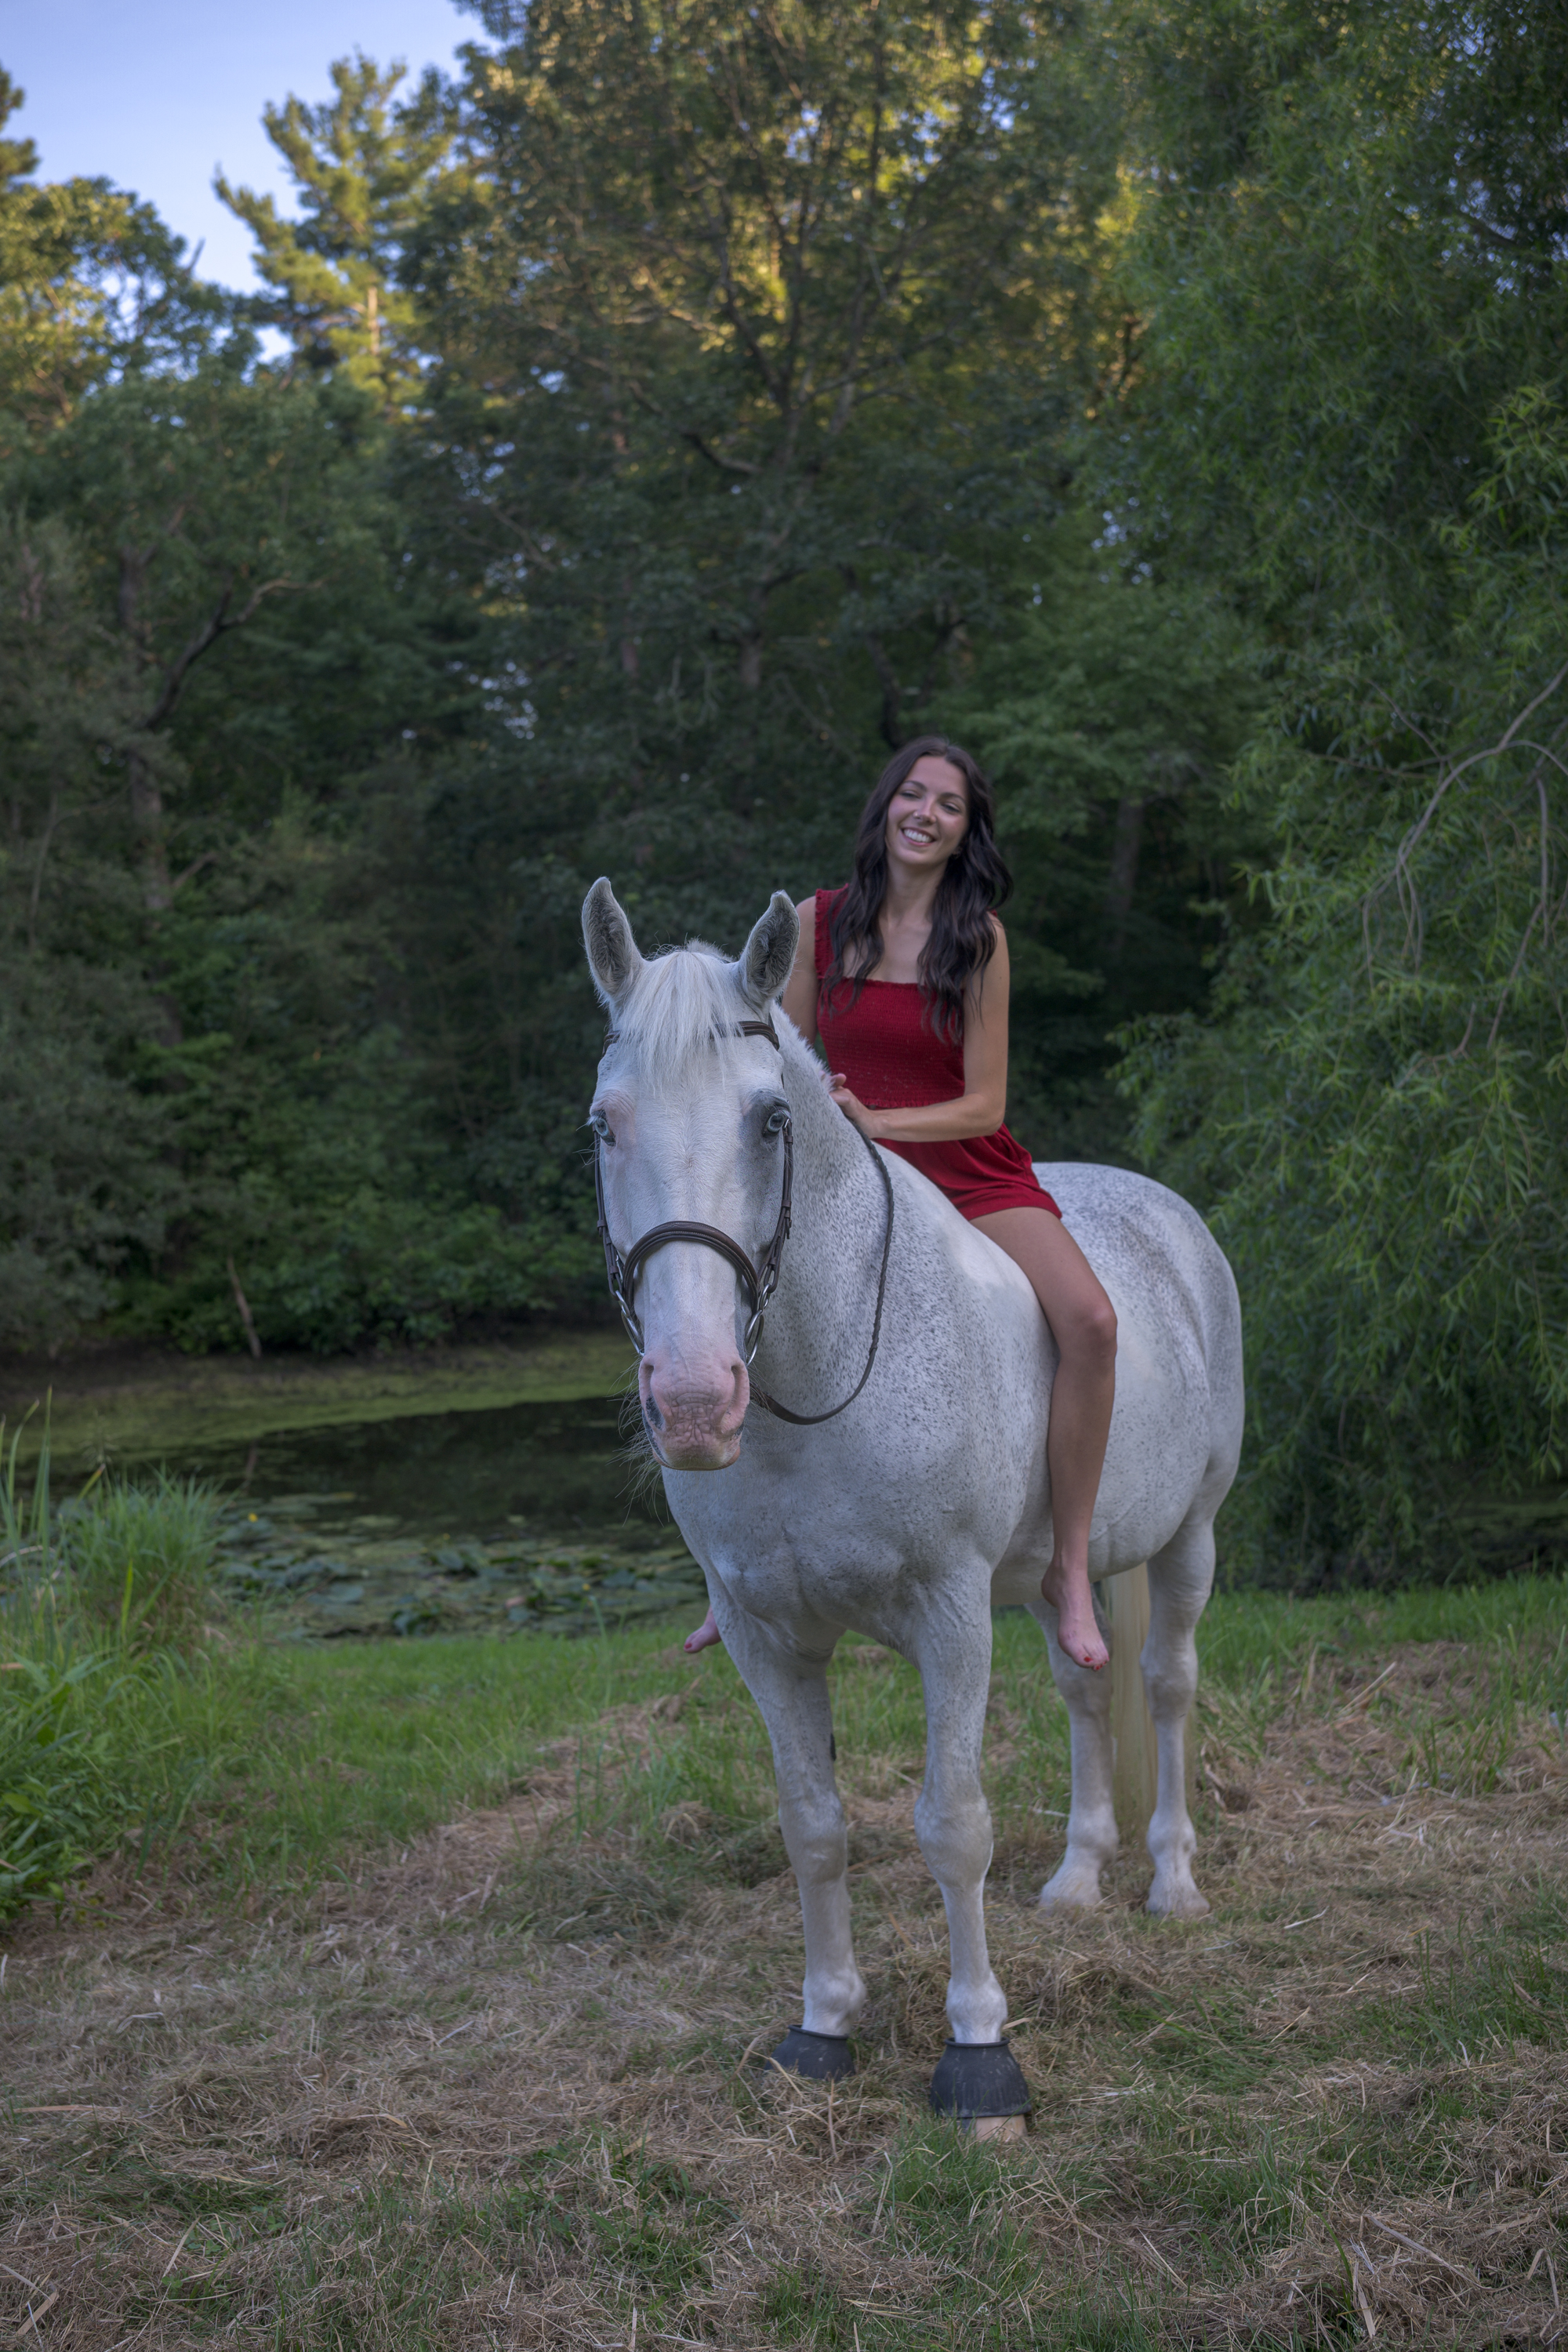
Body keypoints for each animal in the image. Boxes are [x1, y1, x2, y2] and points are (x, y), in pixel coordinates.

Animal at [583, 880, 1244, 2123]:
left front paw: (979, 2052)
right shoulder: (767, 1637)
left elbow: (953, 1826)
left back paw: (1171, 1881)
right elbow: (813, 1826)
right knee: (1086, 1689)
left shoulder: (949, 1616)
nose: (692, 1399)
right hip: (1051, 1582)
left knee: (1167, 1685)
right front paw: (823, 2024)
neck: (817, 1379)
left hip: (1190, 1538)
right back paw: (1078, 1876)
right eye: (605, 1124)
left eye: (771, 1122)